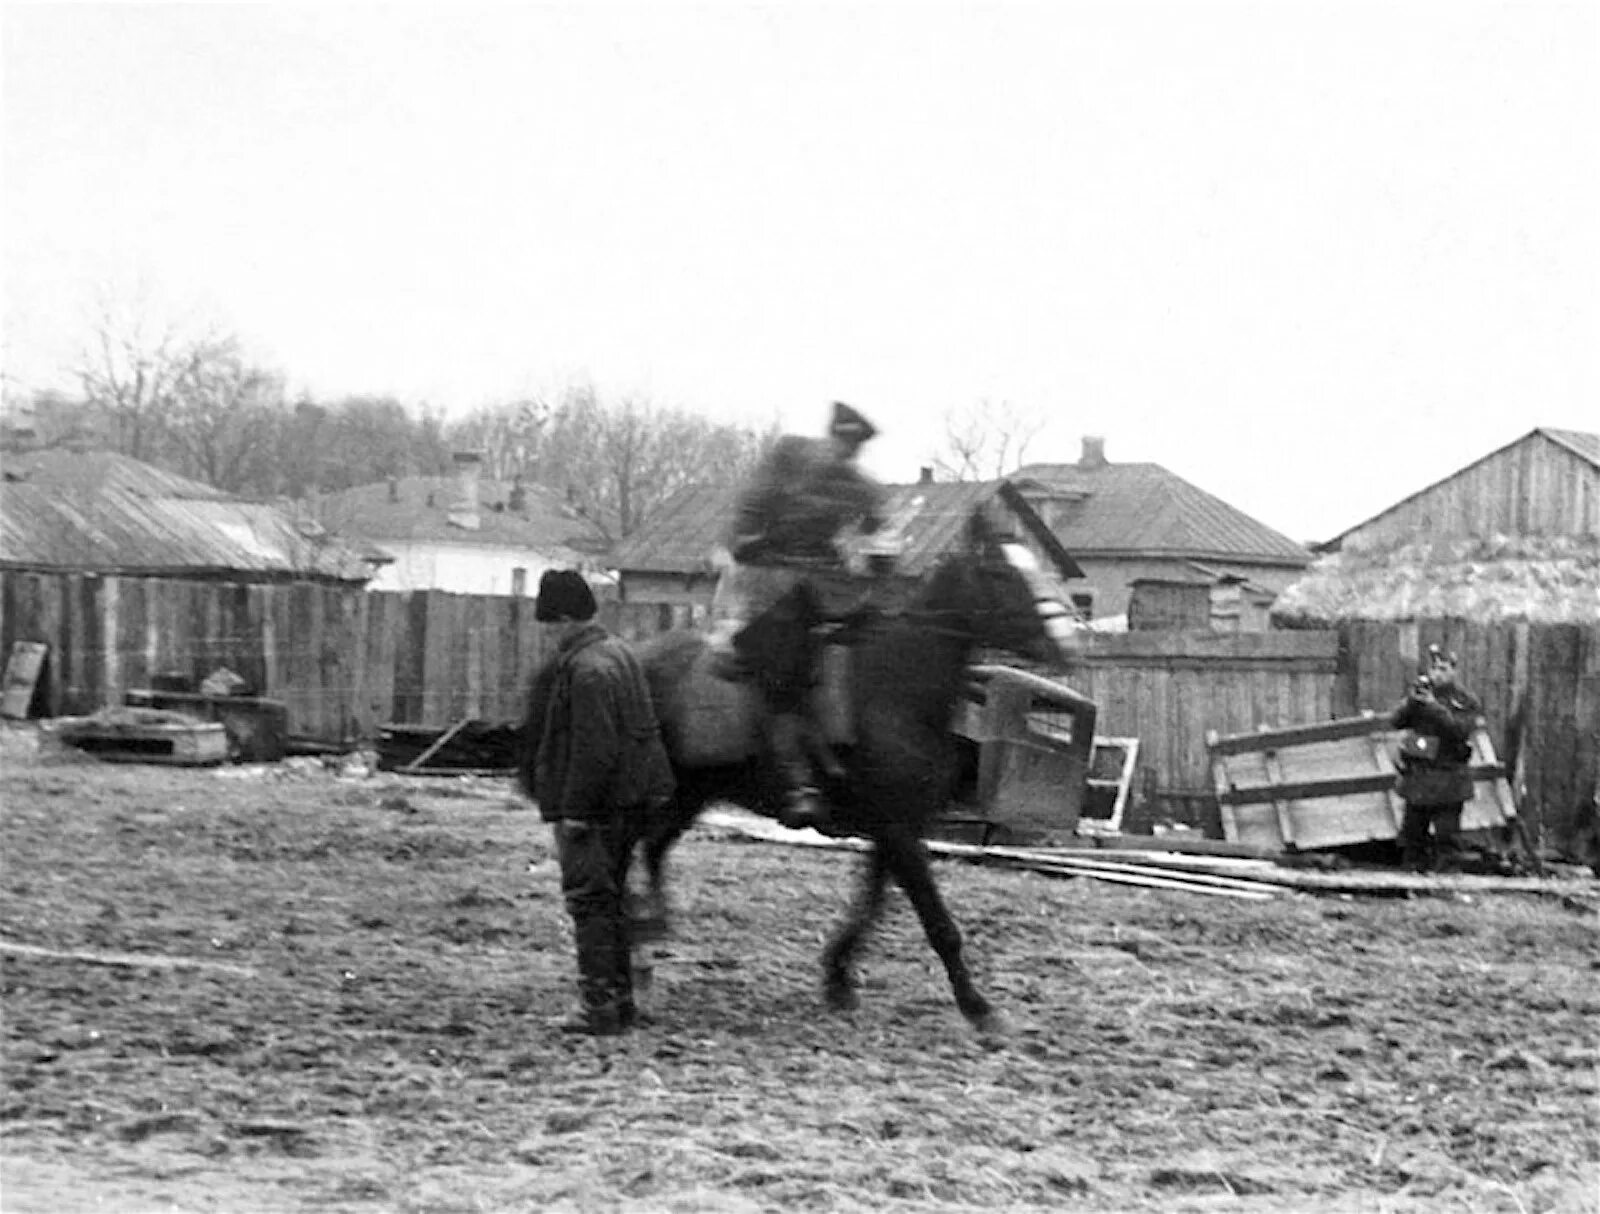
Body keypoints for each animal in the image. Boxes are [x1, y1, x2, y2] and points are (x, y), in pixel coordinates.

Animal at [630, 515, 1081, 1036]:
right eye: (1003, 575)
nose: (1067, 645)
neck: (896, 687)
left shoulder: (897, 828)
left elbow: (870, 904)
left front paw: (838, 977)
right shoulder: (898, 830)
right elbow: (937, 922)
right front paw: (978, 1007)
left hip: (691, 794)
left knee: (653, 846)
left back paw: (652, 923)